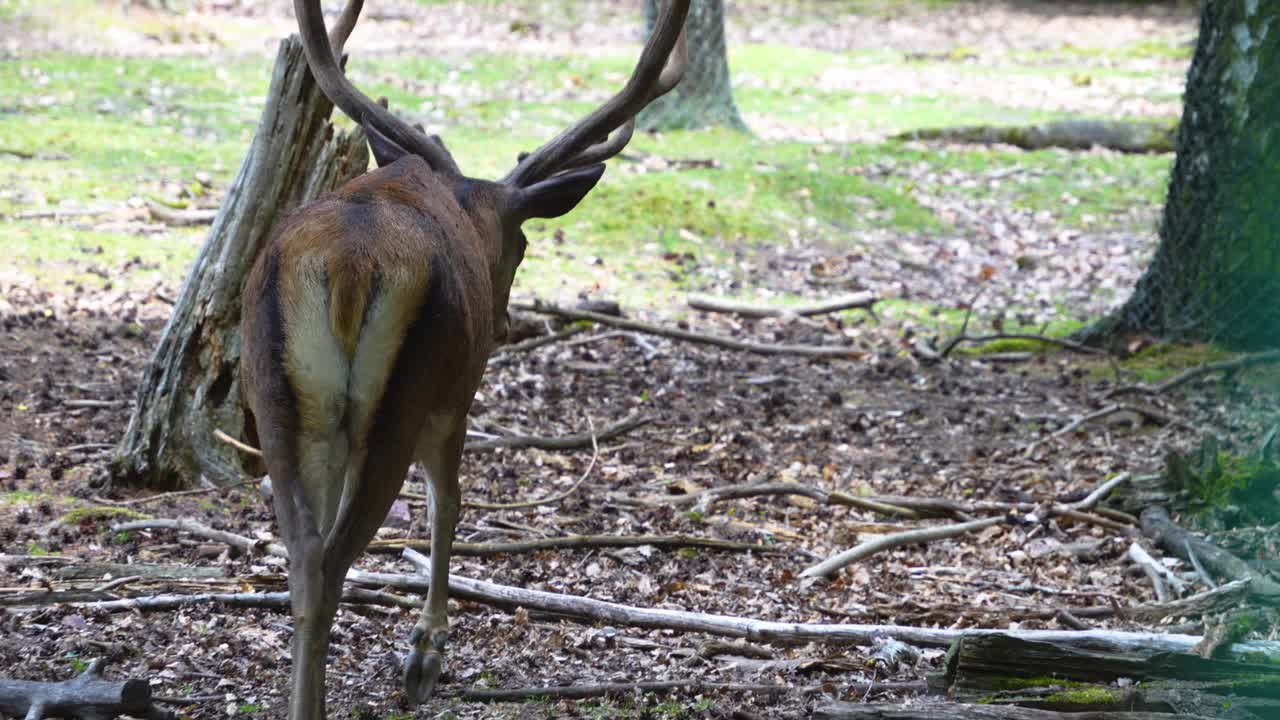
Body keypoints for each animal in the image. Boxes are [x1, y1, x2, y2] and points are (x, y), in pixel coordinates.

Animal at [235, 1, 686, 717]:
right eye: (523, 245)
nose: (500, 323)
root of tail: (349, 265)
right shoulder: (456, 401)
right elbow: (448, 504)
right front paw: (425, 655)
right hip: (406, 397)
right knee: (337, 555)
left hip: (278, 395)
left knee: (304, 554)